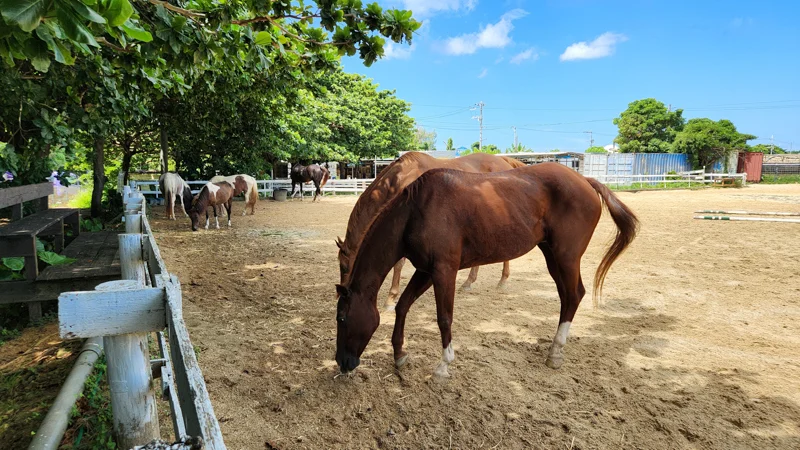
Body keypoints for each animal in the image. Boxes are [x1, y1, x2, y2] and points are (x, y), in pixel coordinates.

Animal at [335, 152, 527, 310]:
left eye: (344, 267)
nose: (340, 294)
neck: (402, 180)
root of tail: (504, 161)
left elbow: (398, 264)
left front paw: (391, 298)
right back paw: (468, 282)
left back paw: (502, 281)